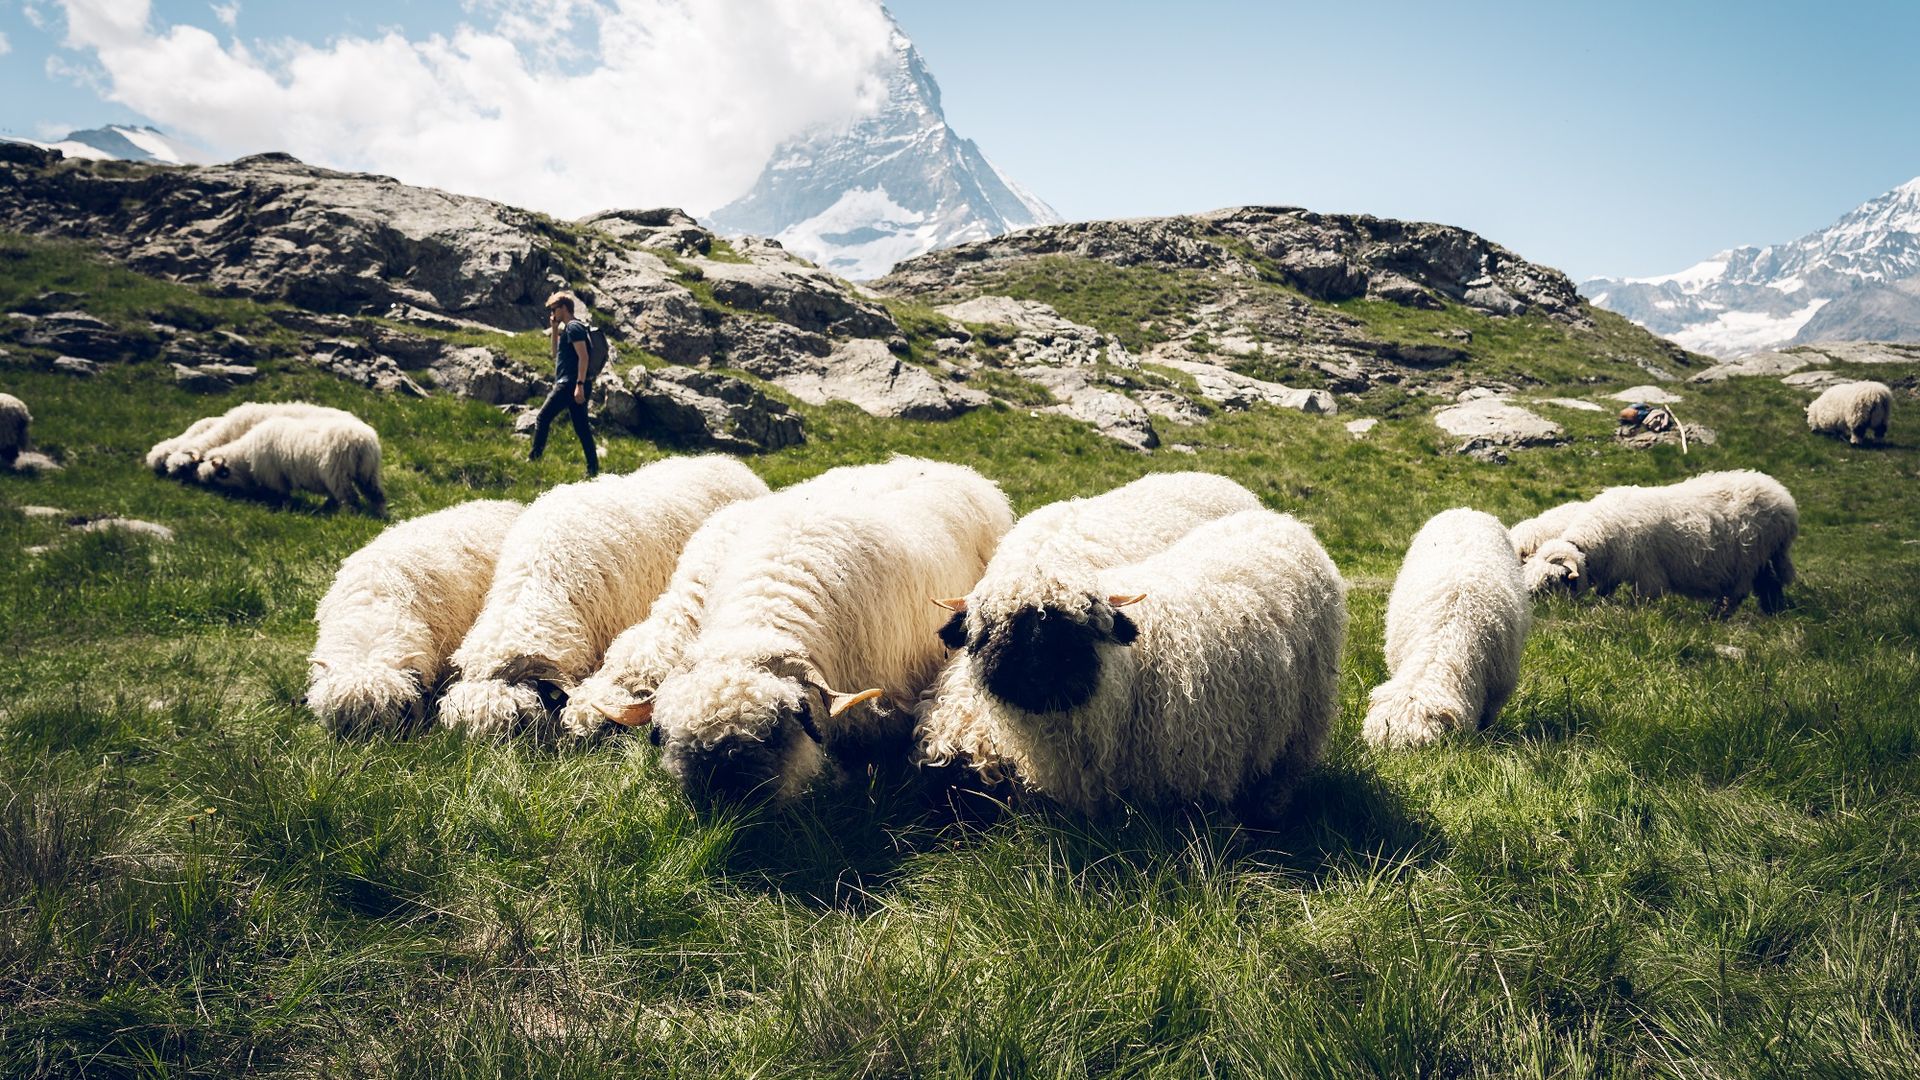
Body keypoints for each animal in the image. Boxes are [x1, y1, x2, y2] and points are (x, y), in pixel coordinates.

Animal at [195, 413, 385, 513]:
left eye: (214, 474)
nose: (199, 477)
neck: (245, 457)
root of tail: (363, 440)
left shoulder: (275, 477)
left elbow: (282, 496)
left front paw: (284, 509)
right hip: (368, 472)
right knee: (376, 493)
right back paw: (380, 513)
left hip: (337, 473)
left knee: (349, 497)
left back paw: (348, 514)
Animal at [1523, 469, 1797, 616]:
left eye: (1550, 582)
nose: (1530, 605)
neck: (1599, 537)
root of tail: (1786, 502)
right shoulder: (1614, 569)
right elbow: (1604, 592)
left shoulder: (1647, 573)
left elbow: (1643, 599)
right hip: (1764, 557)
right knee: (1770, 585)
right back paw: (1771, 613)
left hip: (1749, 557)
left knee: (1737, 594)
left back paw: (1715, 618)